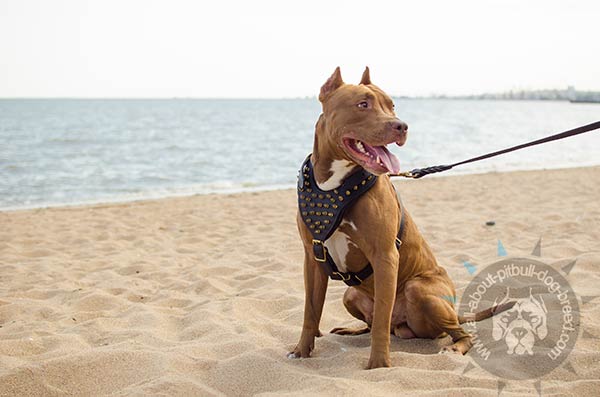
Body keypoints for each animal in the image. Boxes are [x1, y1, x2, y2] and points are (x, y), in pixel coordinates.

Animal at [288, 67, 512, 368]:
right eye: (363, 104)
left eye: (392, 105)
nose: (402, 126)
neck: (334, 185)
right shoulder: (312, 259)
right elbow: (310, 312)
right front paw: (302, 350)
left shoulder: (384, 256)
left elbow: (381, 321)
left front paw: (379, 365)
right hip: (351, 294)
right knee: (372, 322)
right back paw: (352, 329)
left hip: (422, 290)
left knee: (455, 332)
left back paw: (455, 347)